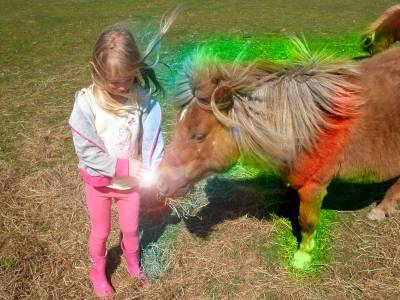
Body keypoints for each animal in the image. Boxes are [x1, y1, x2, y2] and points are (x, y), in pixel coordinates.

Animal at [158, 41, 400, 268]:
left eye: (198, 135)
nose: (160, 184)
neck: (302, 126)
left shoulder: (314, 186)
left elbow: (307, 221)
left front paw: (303, 256)